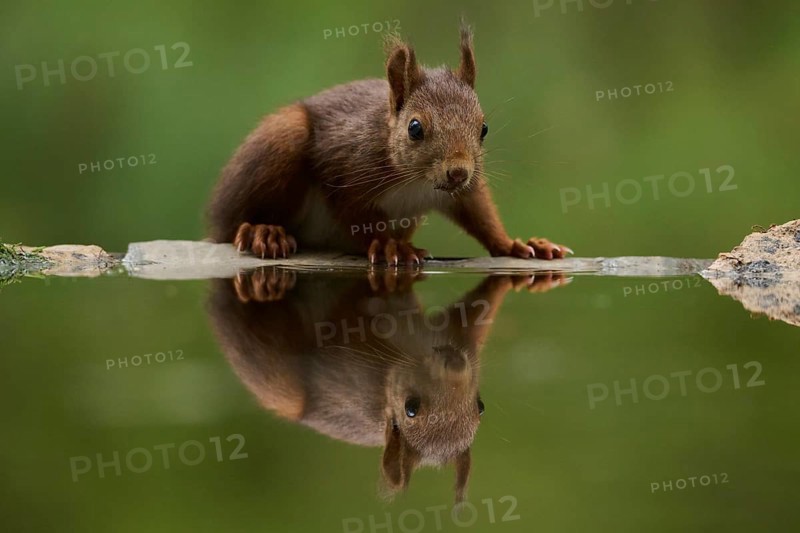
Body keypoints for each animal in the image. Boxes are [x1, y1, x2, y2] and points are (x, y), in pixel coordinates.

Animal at [208, 21, 572, 264]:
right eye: (415, 128)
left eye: (483, 128)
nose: (457, 172)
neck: (416, 180)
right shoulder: (343, 167)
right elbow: (356, 215)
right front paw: (389, 246)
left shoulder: (465, 190)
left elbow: (479, 213)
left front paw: (517, 245)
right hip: (283, 138)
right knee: (234, 223)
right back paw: (262, 232)